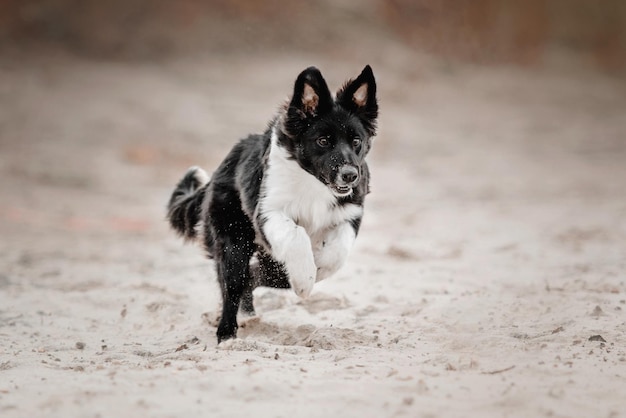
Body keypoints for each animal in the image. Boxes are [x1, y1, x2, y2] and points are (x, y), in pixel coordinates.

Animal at [166, 63, 378, 342]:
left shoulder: (350, 212)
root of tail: (216, 174)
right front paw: (305, 280)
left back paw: (250, 316)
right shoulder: (268, 212)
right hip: (234, 239)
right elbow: (296, 234)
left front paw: (319, 268)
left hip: (267, 260)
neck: (314, 183)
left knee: (254, 277)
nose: (350, 175)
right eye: (323, 141)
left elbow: (338, 252)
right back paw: (227, 333)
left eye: (356, 141)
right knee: (234, 283)